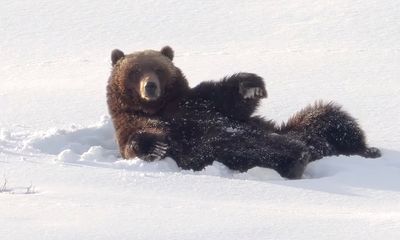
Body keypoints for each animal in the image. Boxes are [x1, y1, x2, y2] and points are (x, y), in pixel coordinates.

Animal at [107, 46, 382, 179]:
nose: (150, 86)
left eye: (158, 69)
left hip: (300, 128)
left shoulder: (199, 101)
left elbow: (231, 99)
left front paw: (251, 86)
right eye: (135, 71)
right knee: (252, 148)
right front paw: (156, 146)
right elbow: (135, 141)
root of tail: (316, 148)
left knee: (331, 117)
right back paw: (296, 159)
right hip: (228, 150)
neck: (162, 106)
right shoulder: (132, 121)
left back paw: (367, 150)